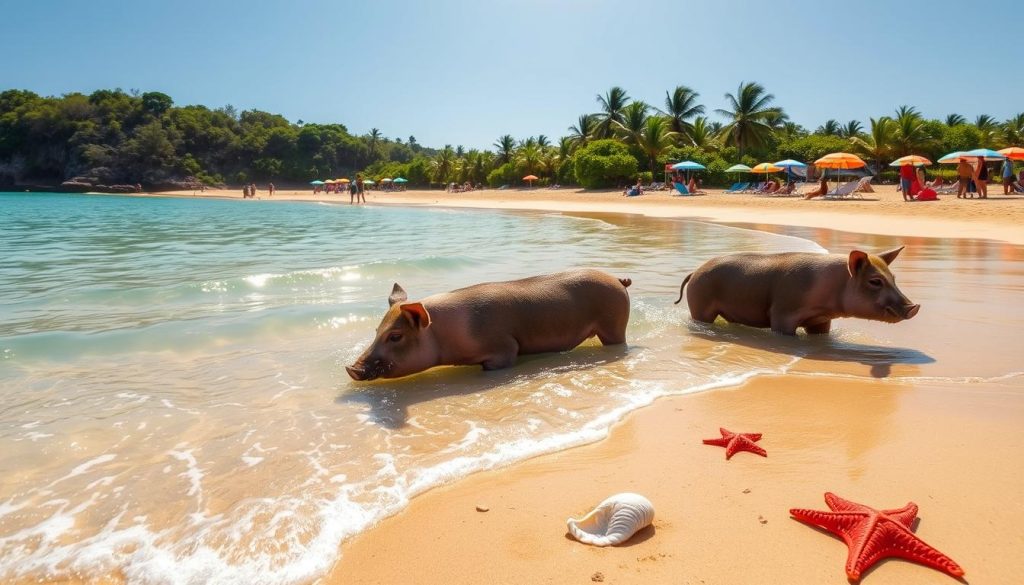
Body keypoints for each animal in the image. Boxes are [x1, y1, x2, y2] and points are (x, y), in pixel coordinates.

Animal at [346, 269, 632, 381]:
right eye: (376, 331)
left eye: (395, 336)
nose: (351, 368)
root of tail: (618, 279)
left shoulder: (504, 348)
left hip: (614, 325)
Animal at [674, 246, 919, 335]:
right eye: (875, 281)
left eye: (893, 278)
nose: (914, 306)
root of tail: (693, 272)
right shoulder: (782, 313)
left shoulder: (822, 321)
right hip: (700, 305)